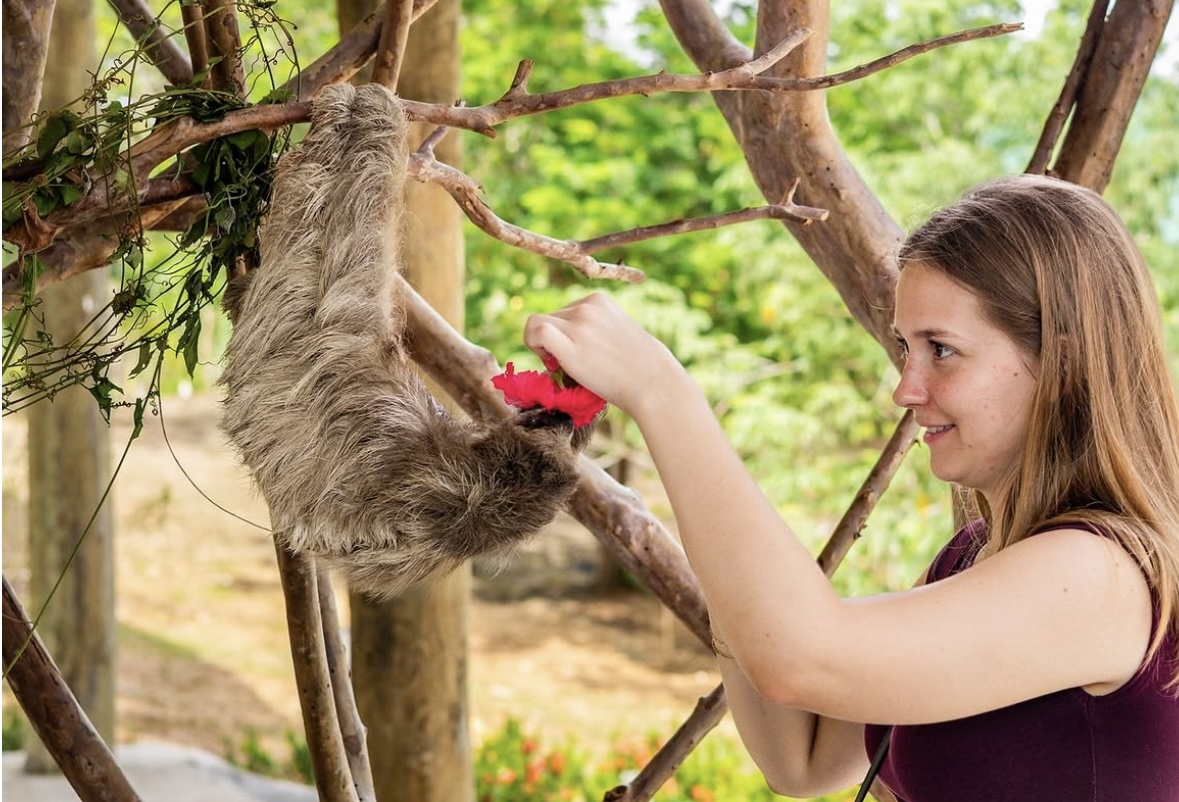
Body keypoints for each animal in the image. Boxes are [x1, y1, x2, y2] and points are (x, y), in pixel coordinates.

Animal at [220, 83, 589, 598]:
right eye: (543, 419)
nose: (555, 415)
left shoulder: (375, 413)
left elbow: (352, 259)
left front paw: (372, 110)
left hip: (288, 301)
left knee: (312, 209)